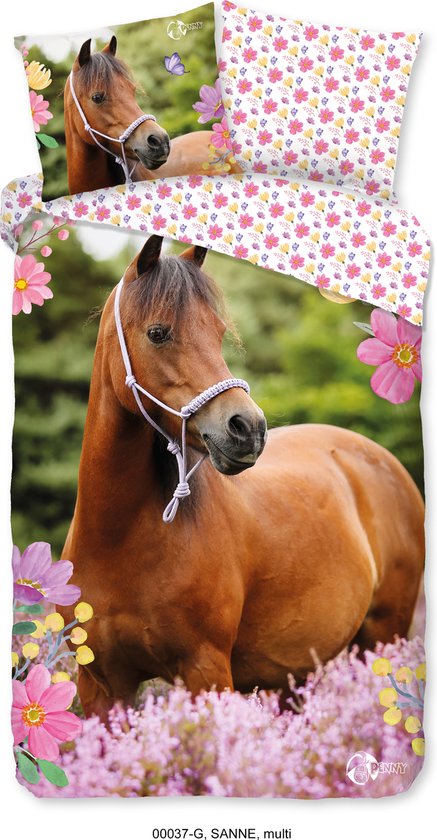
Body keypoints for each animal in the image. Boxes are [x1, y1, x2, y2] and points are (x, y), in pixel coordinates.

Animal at [60, 235, 424, 720]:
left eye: (218, 332)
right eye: (158, 333)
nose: (248, 428)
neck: (118, 538)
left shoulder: (205, 672)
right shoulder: (101, 686)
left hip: (384, 639)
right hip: (291, 676)